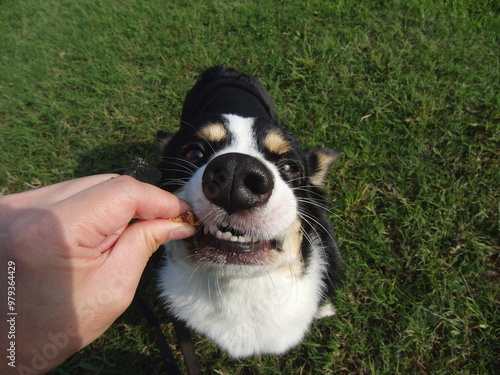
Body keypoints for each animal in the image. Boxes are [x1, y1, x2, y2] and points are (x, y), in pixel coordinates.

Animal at [156, 66, 344, 360]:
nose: (236, 172)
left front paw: (323, 308)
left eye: (289, 166)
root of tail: (221, 68)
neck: (237, 286)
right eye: (193, 153)